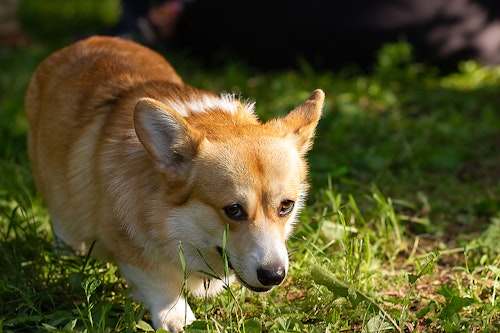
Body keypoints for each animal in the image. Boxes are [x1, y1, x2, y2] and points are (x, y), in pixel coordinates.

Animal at [26, 35, 324, 330]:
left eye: (286, 206)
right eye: (233, 210)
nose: (274, 275)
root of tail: (82, 42)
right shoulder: (129, 245)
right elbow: (158, 282)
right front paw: (176, 315)